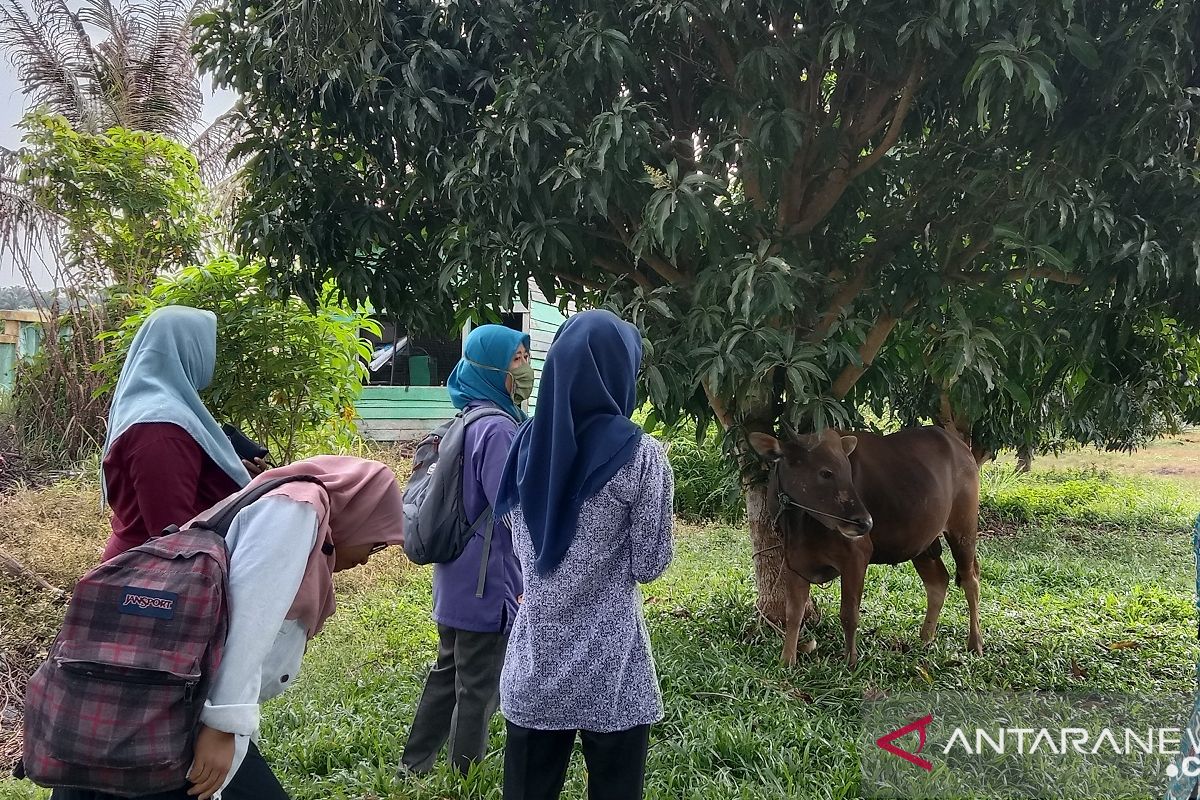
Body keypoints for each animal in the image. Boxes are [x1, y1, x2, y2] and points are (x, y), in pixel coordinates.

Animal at [748, 429, 984, 666]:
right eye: (826, 473)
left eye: (848, 472)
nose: (865, 523)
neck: (799, 525)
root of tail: (960, 446)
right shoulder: (794, 560)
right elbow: (793, 614)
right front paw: (787, 660)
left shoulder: (856, 557)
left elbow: (849, 614)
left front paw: (851, 661)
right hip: (921, 543)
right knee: (938, 581)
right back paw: (926, 638)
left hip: (963, 530)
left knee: (970, 581)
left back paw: (975, 643)